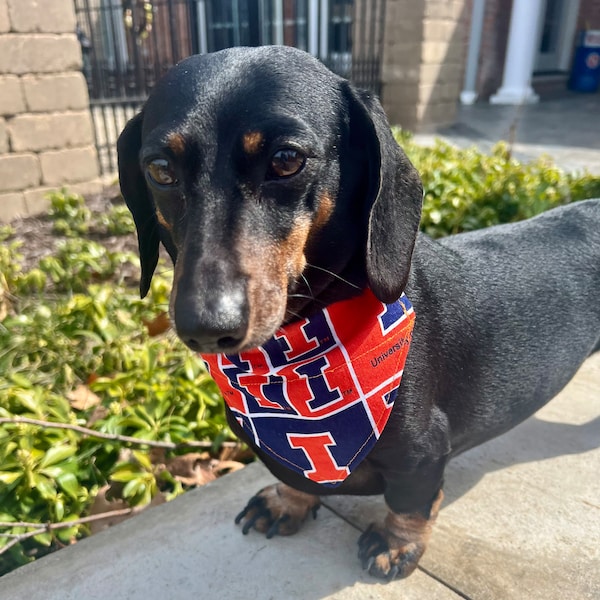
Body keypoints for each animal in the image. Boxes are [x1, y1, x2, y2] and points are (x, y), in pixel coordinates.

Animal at [117, 44, 600, 580]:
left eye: (286, 159)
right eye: (161, 168)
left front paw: (397, 544)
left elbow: (412, 502)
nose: (205, 326)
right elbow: (299, 479)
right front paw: (288, 501)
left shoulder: (424, 451)